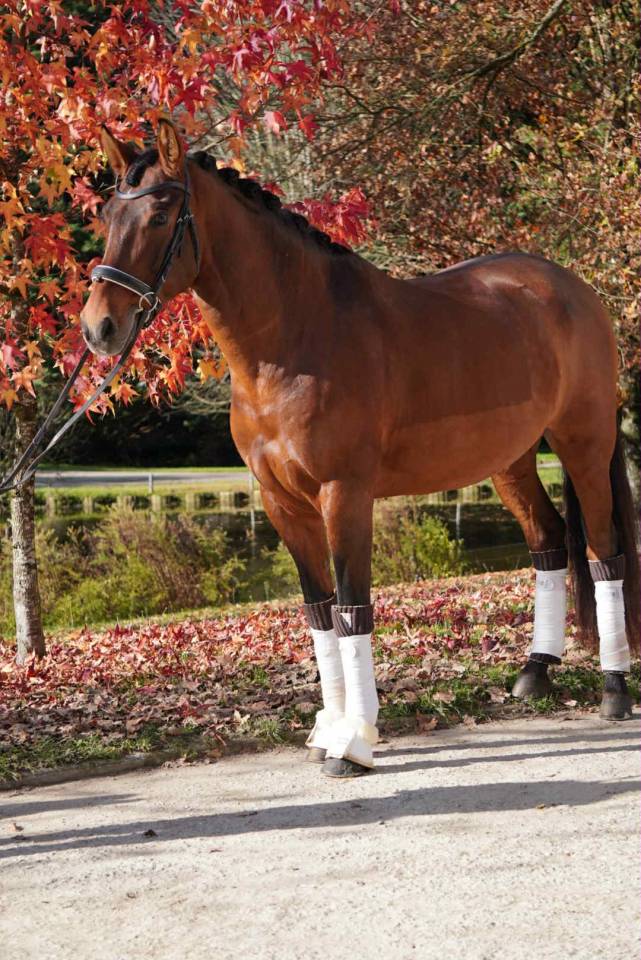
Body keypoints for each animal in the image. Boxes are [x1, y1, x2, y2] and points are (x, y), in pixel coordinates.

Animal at [81, 120, 639, 778]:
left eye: (162, 215)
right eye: (108, 212)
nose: (98, 328)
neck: (296, 337)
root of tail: (574, 290)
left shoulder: (343, 495)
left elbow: (353, 608)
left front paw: (355, 741)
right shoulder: (281, 504)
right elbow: (319, 611)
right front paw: (329, 728)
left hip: (584, 442)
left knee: (604, 552)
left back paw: (614, 689)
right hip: (510, 461)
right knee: (549, 540)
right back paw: (534, 672)